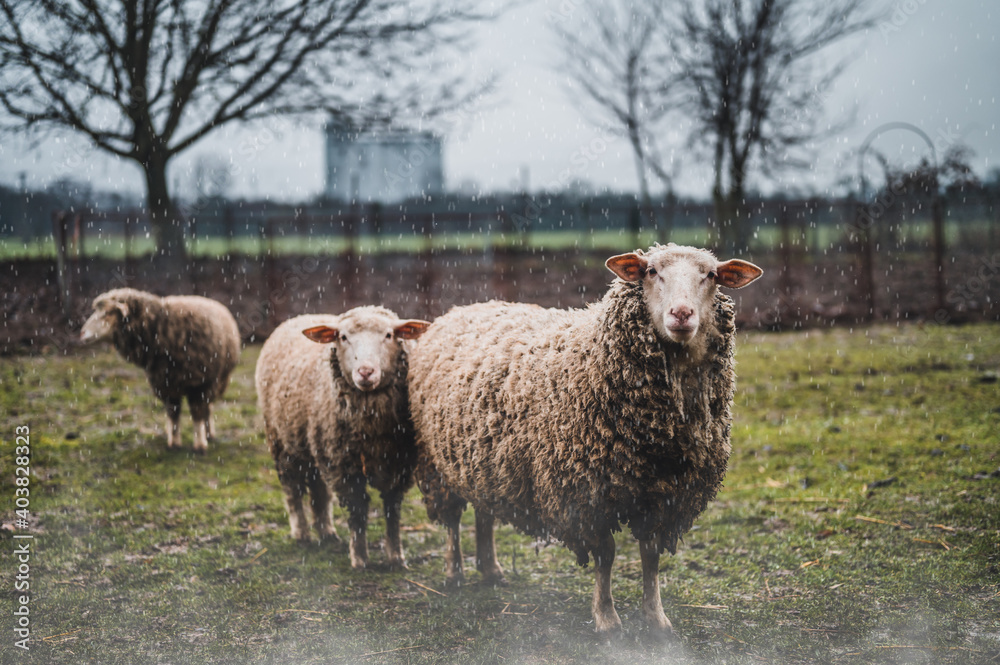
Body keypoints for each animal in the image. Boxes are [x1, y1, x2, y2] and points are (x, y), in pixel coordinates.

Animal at [80, 288, 240, 454]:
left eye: (108, 313)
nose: (81, 333)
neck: (160, 327)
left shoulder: (199, 384)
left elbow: (197, 416)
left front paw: (200, 446)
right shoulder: (165, 384)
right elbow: (173, 415)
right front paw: (174, 444)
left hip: (218, 381)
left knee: (207, 409)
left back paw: (209, 435)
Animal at [254, 308, 430, 569]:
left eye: (389, 335)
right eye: (343, 337)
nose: (365, 372)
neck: (372, 429)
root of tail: (300, 317)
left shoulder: (398, 464)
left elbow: (392, 510)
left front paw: (396, 557)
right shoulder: (344, 466)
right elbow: (357, 512)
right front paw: (360, 559)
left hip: (316, 445)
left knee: (318, 489)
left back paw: (327, 532)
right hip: (282, 441)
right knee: (292, 488)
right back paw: (302, 534)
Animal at [408, 243, 762, 637]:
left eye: (712, 275)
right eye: (651, 271)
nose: (682, 313)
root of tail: (462, 308)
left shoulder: (664, 496)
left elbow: (651, 555)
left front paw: (656, 618)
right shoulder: (585, 493)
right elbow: (605, 555)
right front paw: (606, 619)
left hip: (482, 458)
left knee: (484, 513)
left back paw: (491, 570)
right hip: (435, 462)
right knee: (453, 520)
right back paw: (454, 573)